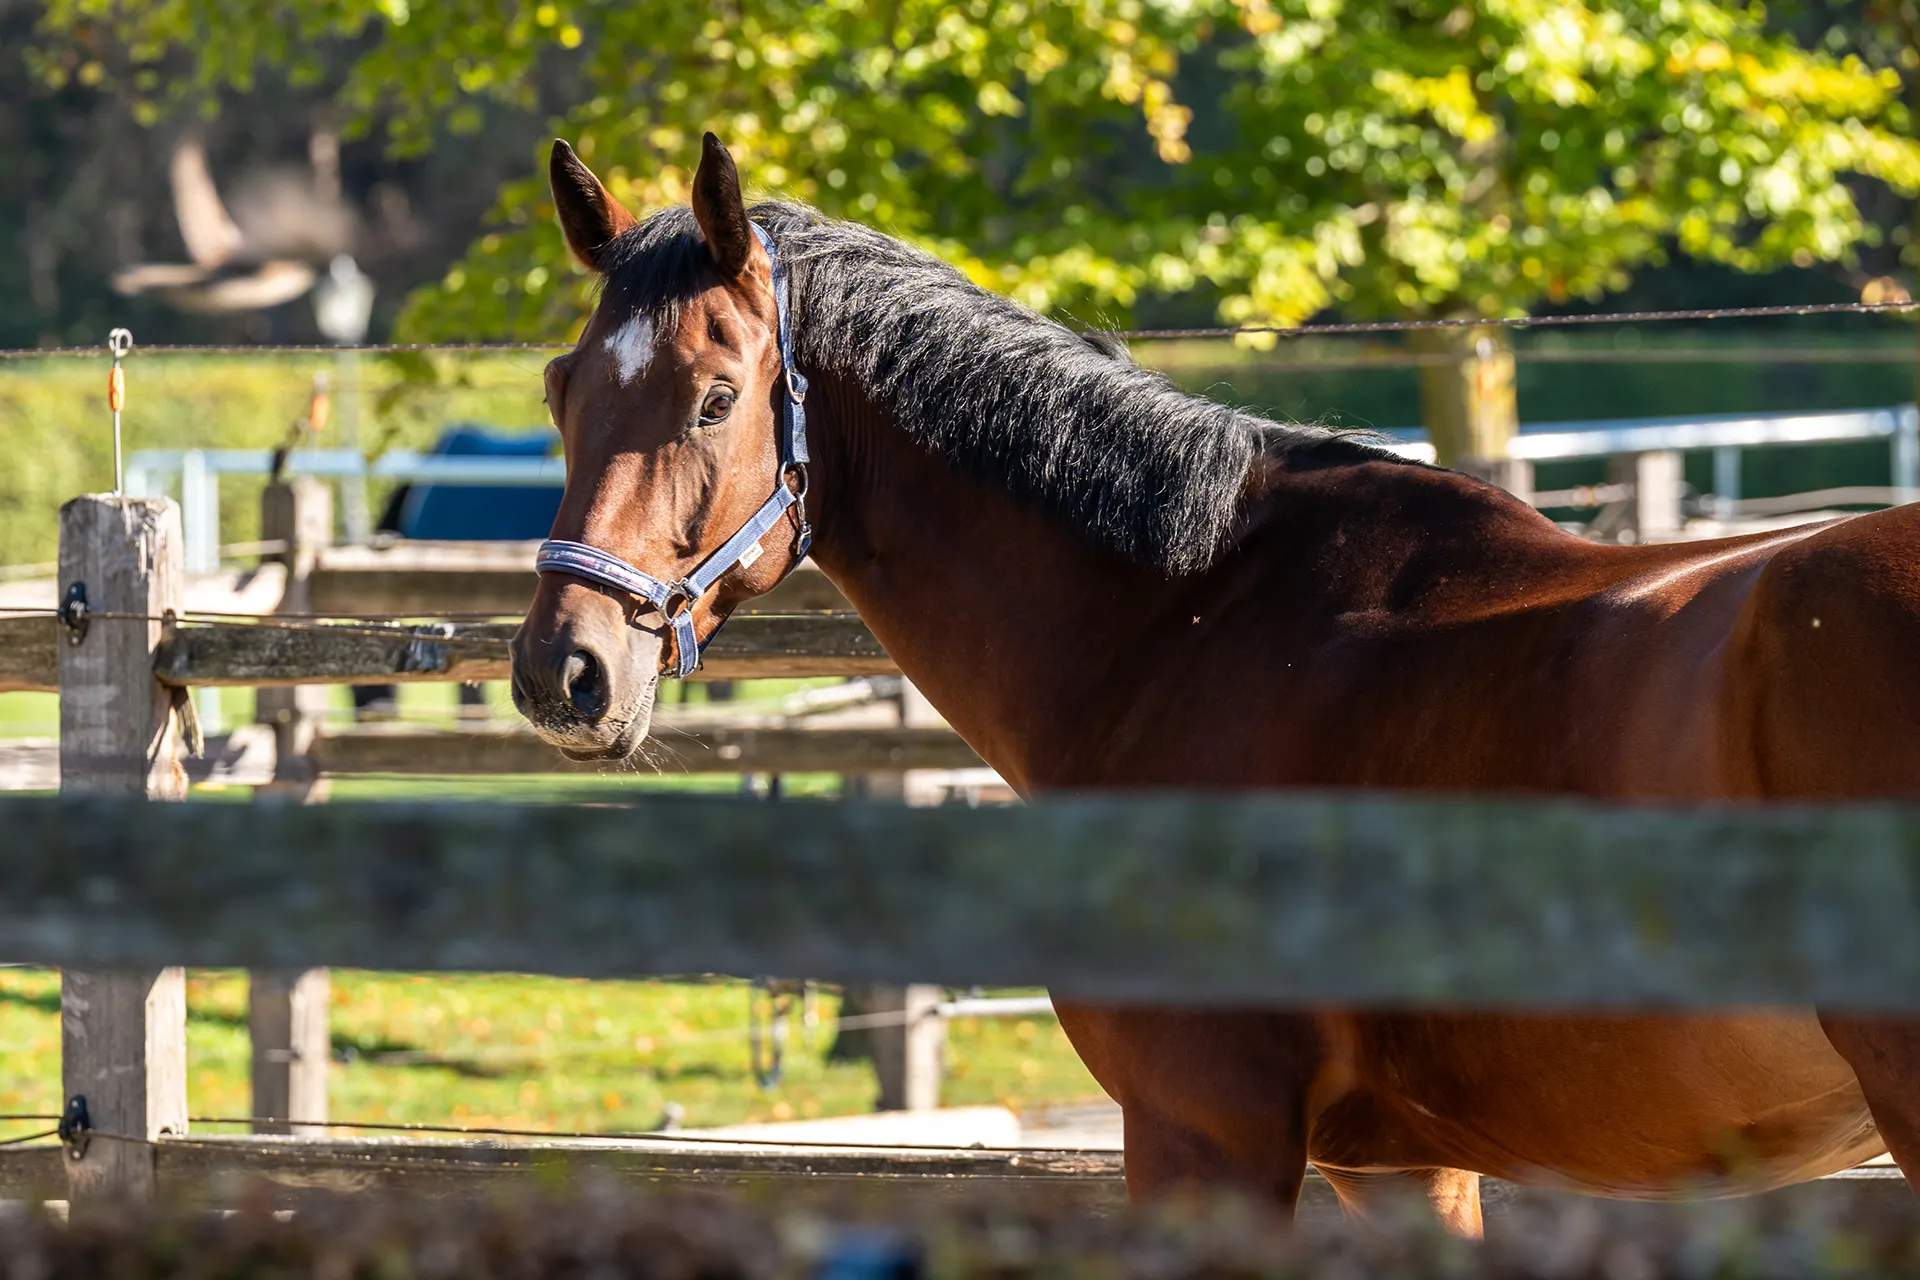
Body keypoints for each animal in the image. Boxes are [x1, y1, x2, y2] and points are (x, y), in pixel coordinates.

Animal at [510, 133, 1920, 1235]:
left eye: (713, 400)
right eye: (561, 388)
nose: (563, 670)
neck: (1187, 616)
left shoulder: (1207, 1132)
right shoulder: (1405, 1165)